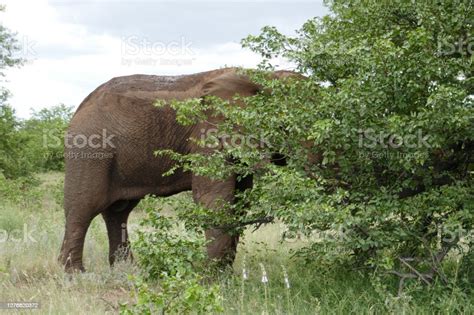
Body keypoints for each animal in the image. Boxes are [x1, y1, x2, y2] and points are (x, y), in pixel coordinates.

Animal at [58, 68, 296, 272]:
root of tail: (81, 105)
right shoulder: (208, 133)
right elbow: (214, 199)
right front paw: (212, 281)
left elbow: (239, 202)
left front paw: (226, 277)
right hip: (91, 148)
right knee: (84, 206)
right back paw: (74, 274)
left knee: (118, 211)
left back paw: (127, 272)